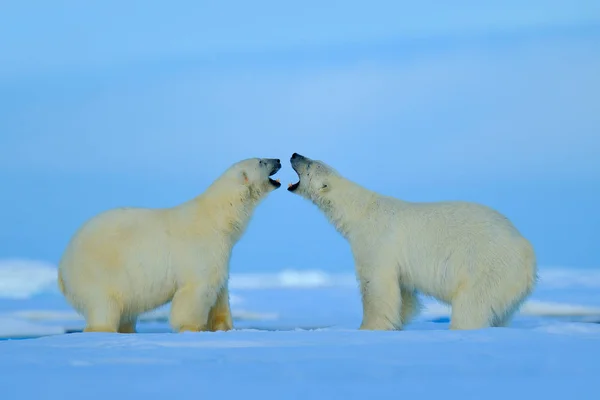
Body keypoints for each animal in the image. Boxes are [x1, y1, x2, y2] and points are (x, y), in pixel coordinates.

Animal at [56, 158, 282, 332]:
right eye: (261, 161)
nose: (278, 160)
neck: (218, 218)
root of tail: (62, 265)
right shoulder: (201, 249)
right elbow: (197, 289)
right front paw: (191, 327)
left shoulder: (222, 253)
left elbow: (220, 292)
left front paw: (224, 327)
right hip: (97, 273)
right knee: (104, 306)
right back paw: (102, 329)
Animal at [288, 153, 536, 332]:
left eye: (309, 165)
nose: (294, 154)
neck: (360, 210)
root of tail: (527, 251)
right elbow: (404, 292)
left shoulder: (376, 242)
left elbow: (376, 285)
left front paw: (368, 328)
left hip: (488, 268)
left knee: (471, 306)